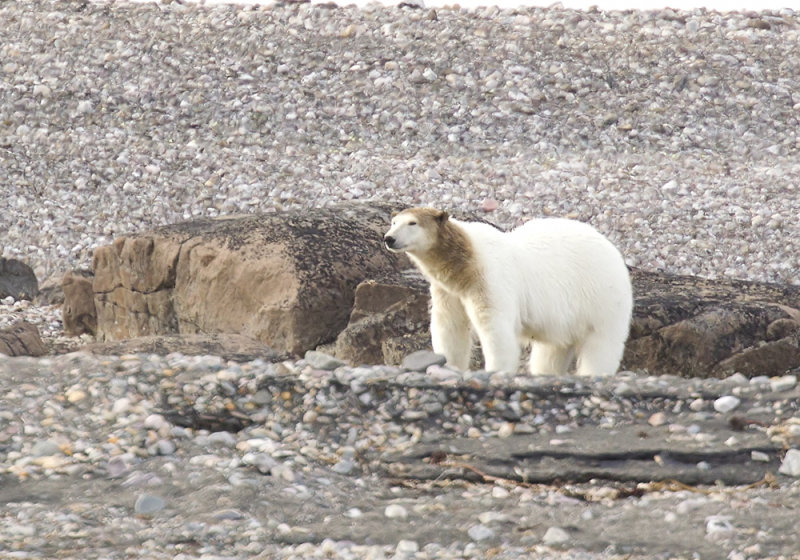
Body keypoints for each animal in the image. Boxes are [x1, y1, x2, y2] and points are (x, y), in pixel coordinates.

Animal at [384, 208, 636, 378]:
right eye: (393, 221)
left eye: (412, 223)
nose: (389, 238)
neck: (466, 261)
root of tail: (614, 252)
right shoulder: (448, 291)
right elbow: (450, 326)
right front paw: (448, 365)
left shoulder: (490, 279)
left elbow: (495, 327)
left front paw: (495, 369)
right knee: (552, 350)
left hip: (601, 298)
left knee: (601, 344)